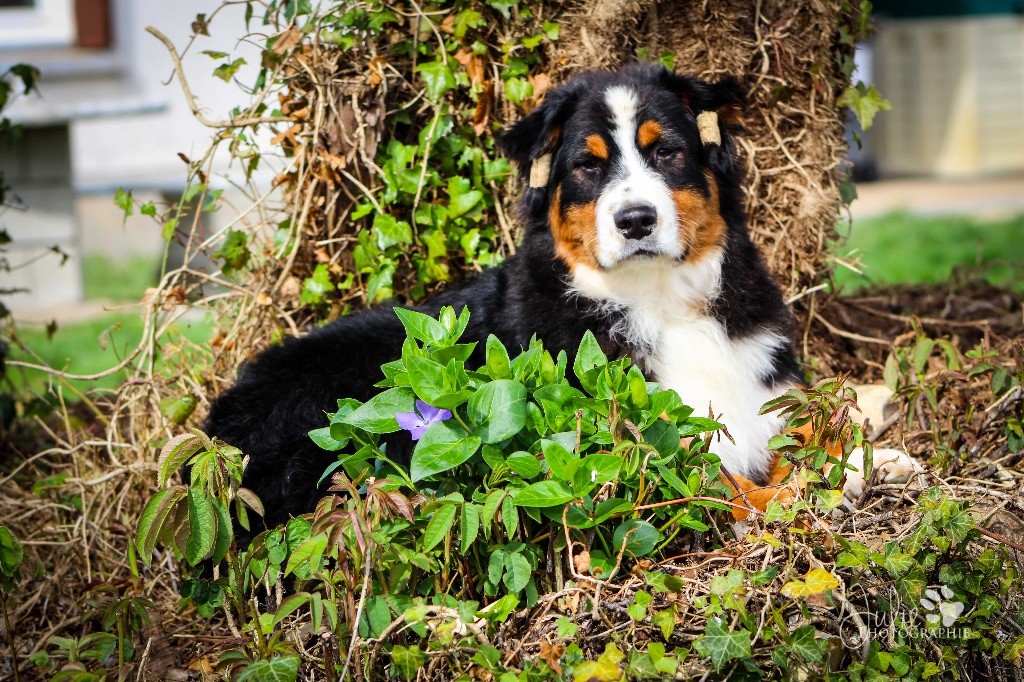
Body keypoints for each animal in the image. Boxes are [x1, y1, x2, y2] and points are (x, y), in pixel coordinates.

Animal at [206, 63, 920, 534]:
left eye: (667, 152)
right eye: (587, 165)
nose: (635, 219)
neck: (660, 300)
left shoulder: (759, 384)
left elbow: (813, 426)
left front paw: (881, 459)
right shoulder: (630, 446)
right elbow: (727, 485)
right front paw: (815, 493)